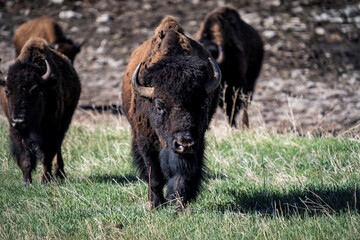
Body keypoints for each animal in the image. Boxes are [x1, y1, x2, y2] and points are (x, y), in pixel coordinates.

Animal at [0, 37, 81, 185]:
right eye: (7, 90)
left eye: (34, 90)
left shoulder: (50, 131)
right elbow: (26, 157)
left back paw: (59, 174)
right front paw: (27, 182)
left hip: (63, 124)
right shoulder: (16, 132)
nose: (19, 120)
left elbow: (46, 156)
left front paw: (45, 181)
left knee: (57, 149)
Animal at [122, 15, 221, 209]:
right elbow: (154, 174)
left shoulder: (197, 143)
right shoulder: (146, 143)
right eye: (159, 106)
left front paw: (178, 204)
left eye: (203, 104)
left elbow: (182, 175)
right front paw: (155, 204)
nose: (184, 143)